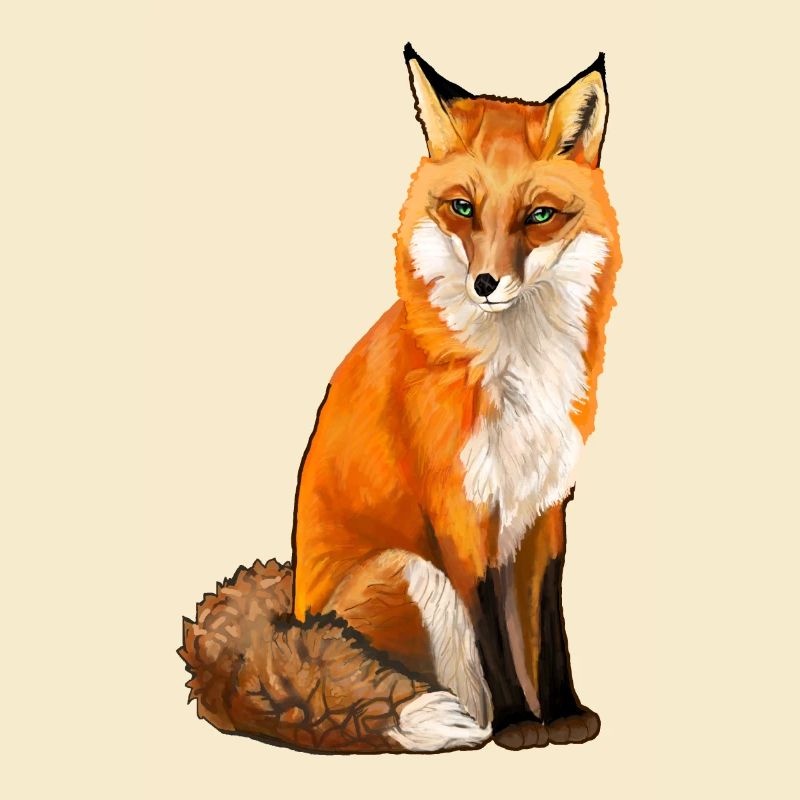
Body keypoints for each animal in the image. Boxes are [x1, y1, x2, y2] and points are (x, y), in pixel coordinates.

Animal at [181, 44, 621, 755]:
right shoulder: (458, 510)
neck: (516, 370)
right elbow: (494, 634)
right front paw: (521, 725)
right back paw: (472, 722)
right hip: (411, 570)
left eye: (540, 216)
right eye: (463, 208)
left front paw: (563, 713)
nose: (486, 283)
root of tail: (290, 616)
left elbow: (548, 626)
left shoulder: (544, 506)